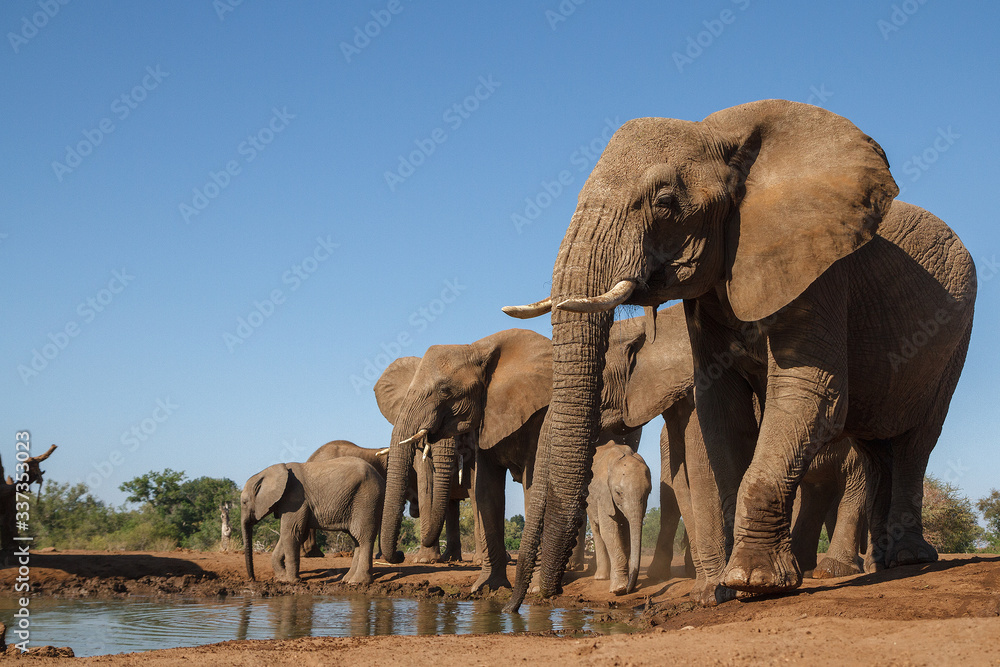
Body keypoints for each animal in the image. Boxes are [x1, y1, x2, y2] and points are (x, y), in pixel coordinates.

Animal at [241, 458, 384, 584]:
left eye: (244, 502)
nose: (252, 579)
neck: (265, 473)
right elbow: (293, 534)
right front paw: (282, 578)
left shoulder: (295, 499)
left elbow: (291, 532)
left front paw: (292, 581)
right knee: (357, 540)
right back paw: (347, 579)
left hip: (367, 500)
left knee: (363, 537)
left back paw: (357, 582)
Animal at [375, 328, 552, 593]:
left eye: (445, 391)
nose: (399, 554)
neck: (476, 348)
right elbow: (483, 490)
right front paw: (487, 587)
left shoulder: (536, 417)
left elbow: (528, 487)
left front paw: (535, 588)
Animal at [587, 441, 651, 594]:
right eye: (618, 493)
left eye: (649, 492)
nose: (629, 589)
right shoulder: (603, 493)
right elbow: (609, 531)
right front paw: (619, 589)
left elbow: (626, 533)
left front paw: (621, 584)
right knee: (597, 529)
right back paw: (601, 577)